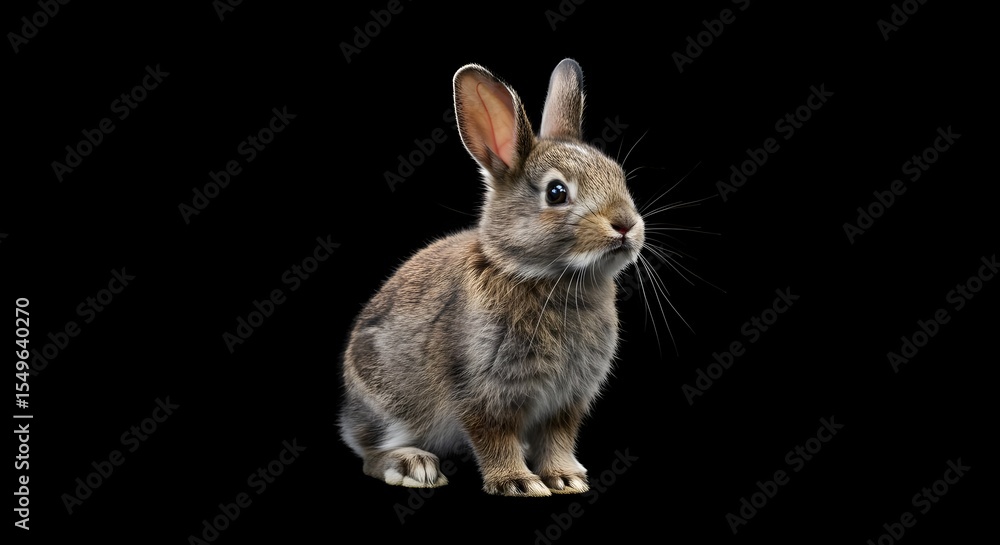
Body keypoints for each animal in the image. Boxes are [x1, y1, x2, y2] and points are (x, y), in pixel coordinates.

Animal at [339, 58, 644, 497]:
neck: (545, 277)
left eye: (618, 176)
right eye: (556, 192)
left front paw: (566, 479)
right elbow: (494, 437)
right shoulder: (482, 392)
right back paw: (413, 466)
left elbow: (558, 438)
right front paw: (518, 483)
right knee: (370, 454)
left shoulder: (566, 402)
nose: (626, 225)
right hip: (389, 407)